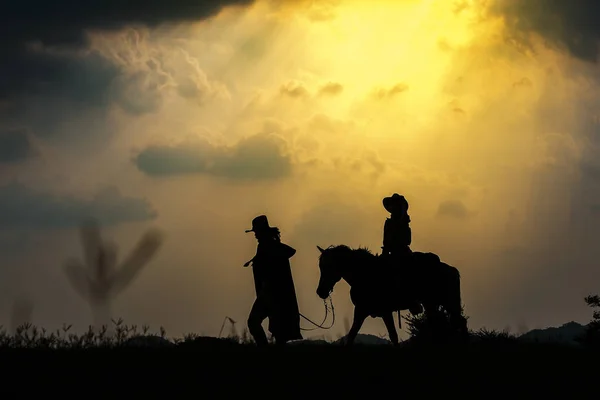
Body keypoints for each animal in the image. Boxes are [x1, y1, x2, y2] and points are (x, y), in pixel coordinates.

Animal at [316, 245, 466, 346]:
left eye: (329, 266)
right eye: (321, 267)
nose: (320, 291)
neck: (366, 274)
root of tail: (451, 269)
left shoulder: (385, 311)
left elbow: (393, 335)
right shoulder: (361, 311)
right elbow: (351, 335)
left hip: (446, 302)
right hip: (432, 304)